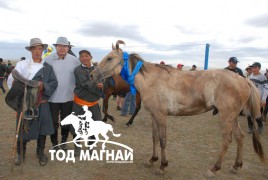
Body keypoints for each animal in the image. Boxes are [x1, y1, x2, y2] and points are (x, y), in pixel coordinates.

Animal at [90, 40, 266, 176]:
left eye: (109, 58)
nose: (92, 74)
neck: (152, 80)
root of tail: (244, 80)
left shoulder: (161, 115)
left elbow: (162, 140)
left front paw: (162, 166)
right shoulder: (154, 115)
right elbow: (154, 138)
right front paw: (152, 160)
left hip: (225, 116)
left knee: (227, 140)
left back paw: (214, 169)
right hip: (233, 116)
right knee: (240, 137)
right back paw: (236, 166)